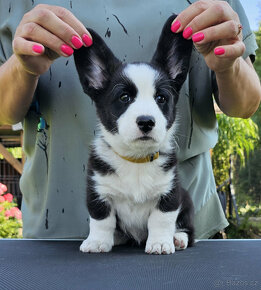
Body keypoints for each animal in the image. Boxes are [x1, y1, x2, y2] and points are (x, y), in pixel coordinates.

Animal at [73, 14, 193, 254]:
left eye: (161, 98)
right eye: (124, 98)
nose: (146, 121)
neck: (136, 160)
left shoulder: (170, 192)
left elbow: (161, 219)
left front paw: (160, 243)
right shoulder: (98, 191)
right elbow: (101, 220)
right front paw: (97, 242)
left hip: (187, 201)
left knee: (187, 229)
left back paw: (178, 238)